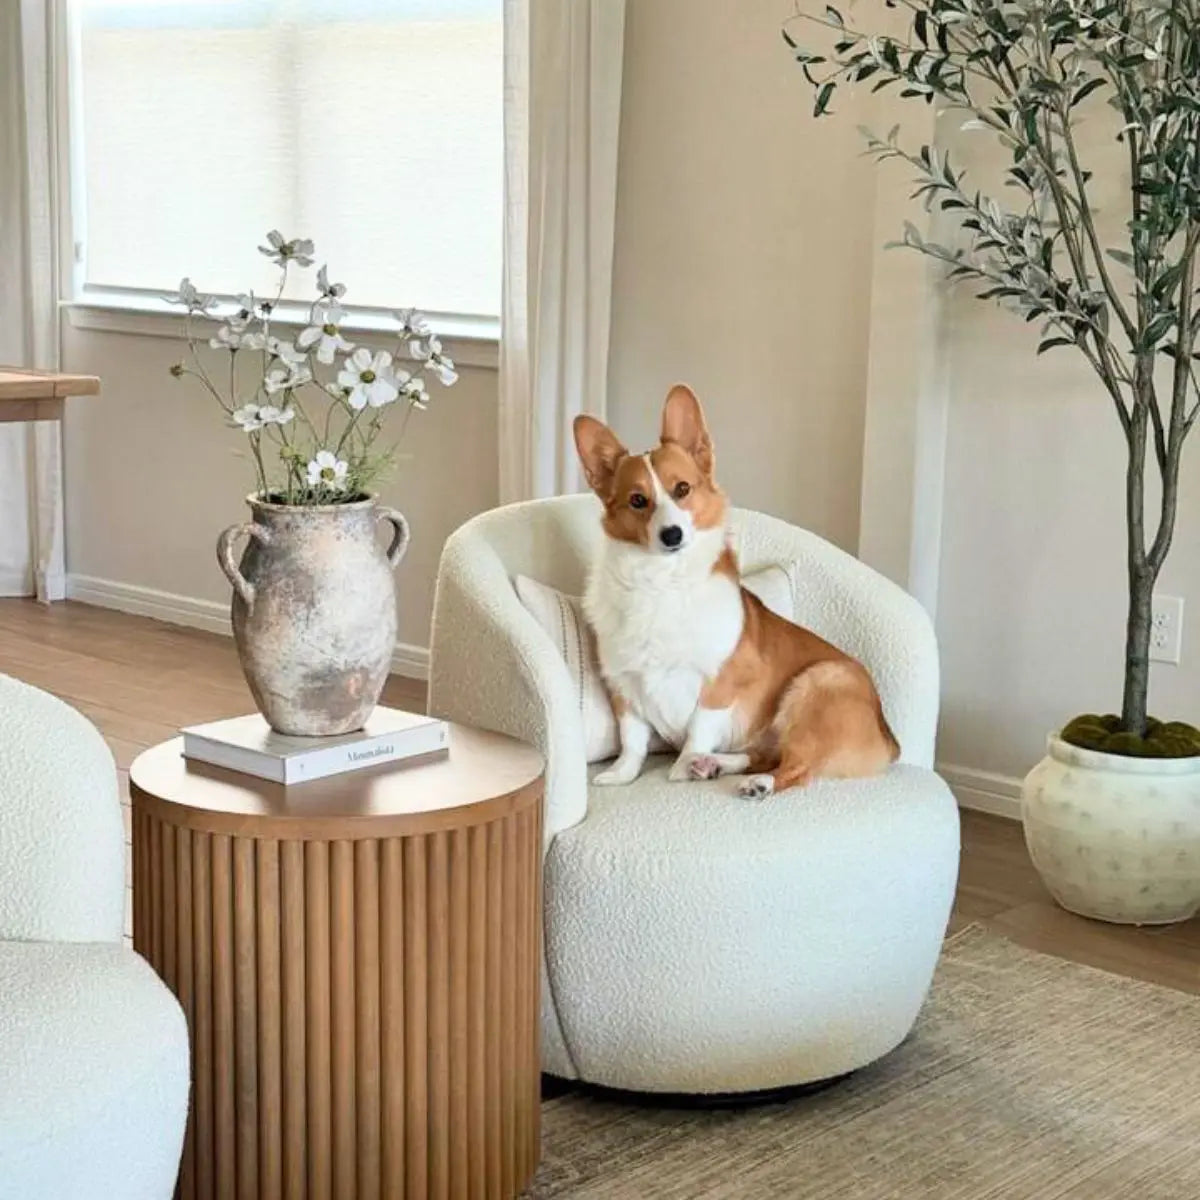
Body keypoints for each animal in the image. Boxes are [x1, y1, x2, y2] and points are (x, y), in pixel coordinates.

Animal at [573, 384, 902, 796]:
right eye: (637, 500)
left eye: (682, 488)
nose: (672, 535)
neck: (662, 581)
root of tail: (888, 738)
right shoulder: (624, 687)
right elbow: (633, 740)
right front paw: (622, 773)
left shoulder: (719, 682)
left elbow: (697, 728)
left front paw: (681, 767)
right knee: (764, 755)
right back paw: (715, 765)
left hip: (815, 686)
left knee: (796, 768)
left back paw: (755, 783)